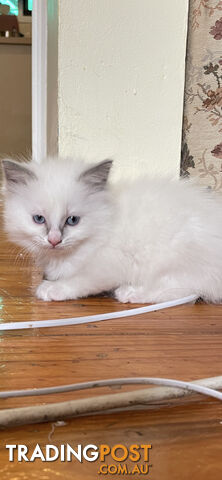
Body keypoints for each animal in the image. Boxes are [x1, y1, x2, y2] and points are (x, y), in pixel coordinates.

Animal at [2, 156, 222, 304]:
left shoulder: (110, 263)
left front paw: (52, 289)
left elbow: (80, 280)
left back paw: (128, 293)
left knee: (181, 289)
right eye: (39, 219)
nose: (54, 240)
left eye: (72, 220)